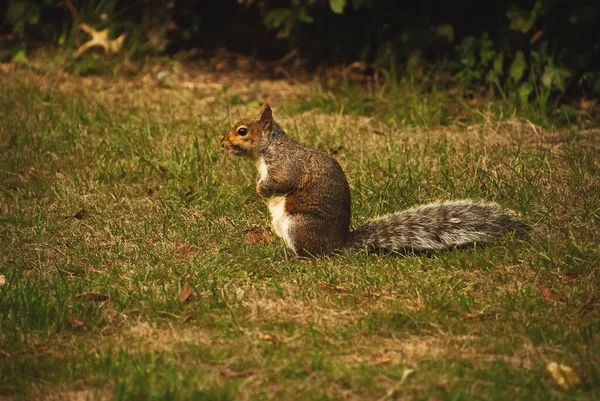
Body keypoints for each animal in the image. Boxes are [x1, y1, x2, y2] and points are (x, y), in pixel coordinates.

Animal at [220, 104, 528, 256]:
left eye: (243, 131)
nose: (222, 144)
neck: (267, 150)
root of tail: (337, 245)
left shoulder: (285, 165)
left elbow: (280, 182)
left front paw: (260, 187)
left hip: (299, 225)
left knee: (310, 255)